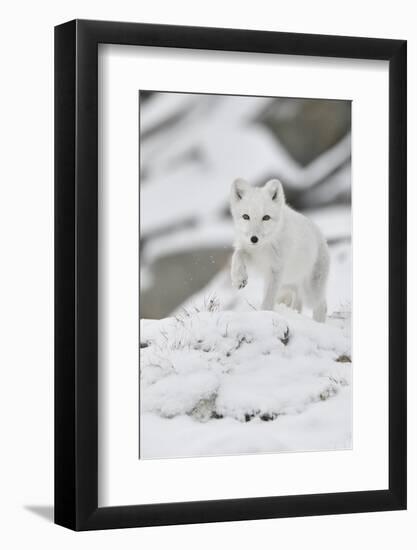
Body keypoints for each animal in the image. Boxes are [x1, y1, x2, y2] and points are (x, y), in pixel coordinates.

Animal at [231, 177, 328, 324]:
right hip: (289, 287)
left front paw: (265, 314)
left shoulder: (275, 270)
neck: (263, 247)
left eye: (266, 217)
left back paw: (318, 324)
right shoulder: (252, 255)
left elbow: (268, 298)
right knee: (298, 303)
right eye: (246, 216)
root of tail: (322, 237)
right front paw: (239, 278)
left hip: (310, 292)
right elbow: (237, 254)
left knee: (322, 304)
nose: (254, 239)